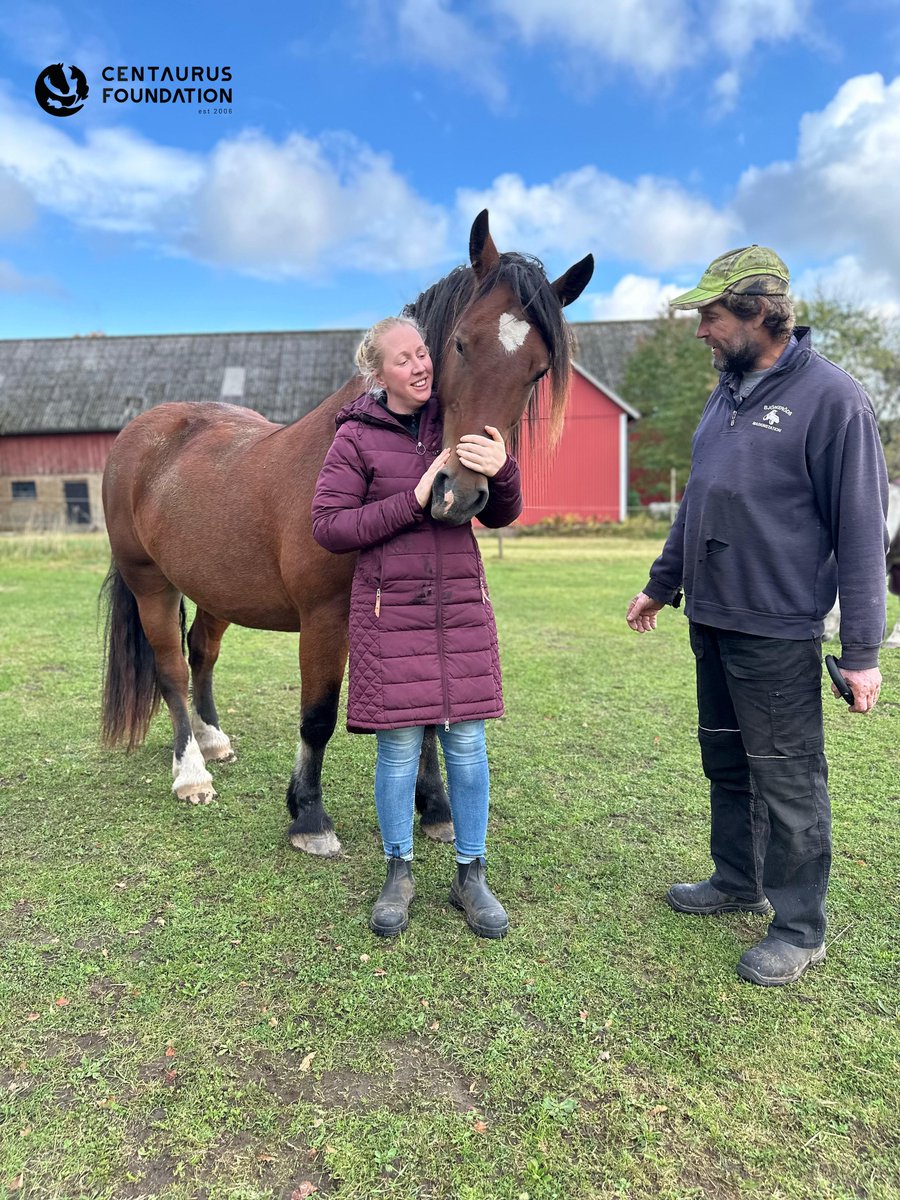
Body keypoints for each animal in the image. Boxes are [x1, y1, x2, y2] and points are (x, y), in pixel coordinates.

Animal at [100, 210, 594, 856]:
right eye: (461, 342)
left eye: (536, 370)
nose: (459, 494)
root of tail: (141, 434)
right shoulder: (324, 619)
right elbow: (318, 716)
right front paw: (309, 816)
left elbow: (424, 716)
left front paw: (435, 807)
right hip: (151, 584)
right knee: (171, 669)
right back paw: (191, 773)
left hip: (215, 586)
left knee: (201, 651)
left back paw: (212, 740)